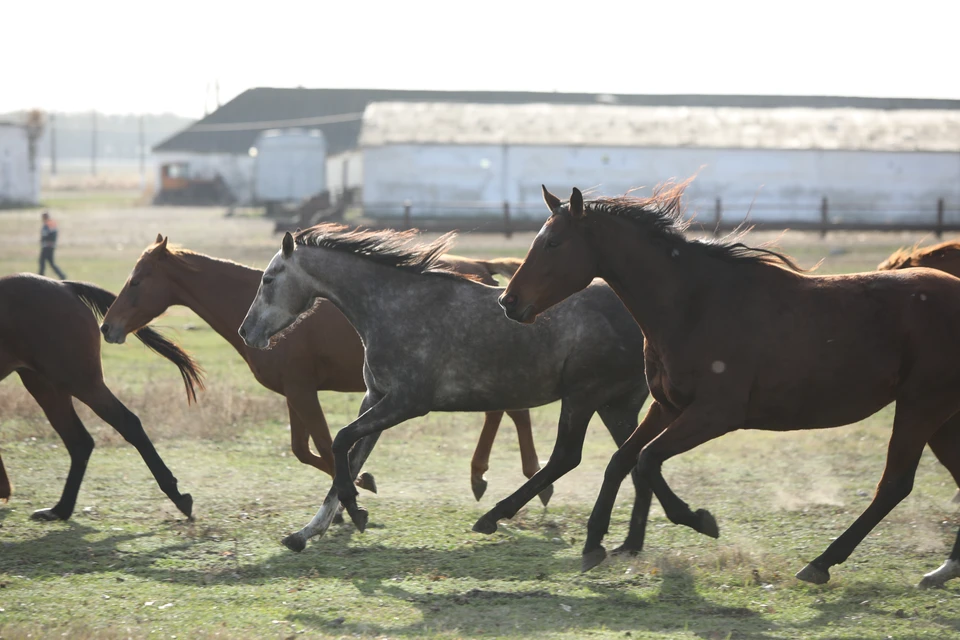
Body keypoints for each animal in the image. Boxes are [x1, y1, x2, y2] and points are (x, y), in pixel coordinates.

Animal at [0, 274, 202, 520]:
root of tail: (64, 286)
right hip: (44, 383)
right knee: (80, 441)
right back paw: (59, 510)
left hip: (77, 380)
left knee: (125, 423)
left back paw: (177, 496)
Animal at [102, 234, 552, 500]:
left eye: (137, 280)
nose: (108, 326)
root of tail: (483, 270)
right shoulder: (294, 393)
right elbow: (304, 449)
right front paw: (357, 484)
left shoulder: (304, 391)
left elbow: (320, 444)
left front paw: (356, 489)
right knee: (506, 411)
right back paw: (494, 476)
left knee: (512, 412)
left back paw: (513, 476)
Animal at [238, 224, 652, 552]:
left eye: (268, 279)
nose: (246, 332)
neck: (394, 307)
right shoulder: (376, 399)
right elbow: (352, 458)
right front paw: (306, 532)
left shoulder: (407, 402)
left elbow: (341, 444)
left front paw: (355, 510)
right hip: (616, 406)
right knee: (637, 458)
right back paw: (640, 537)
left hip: (584, 396)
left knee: (568, 457)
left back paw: (493, 517)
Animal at [498, 182, 960, 588]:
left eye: (553, 243)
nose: (508, 301)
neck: (694, 304)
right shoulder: (667, 407)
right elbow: (622, 460)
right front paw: (594, 543)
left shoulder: (716, 414)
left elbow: (646, 460)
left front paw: (700, 520)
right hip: (939, 419)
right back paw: (942, 569)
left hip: (921, 407)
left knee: (894, 484)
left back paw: (821, 563)